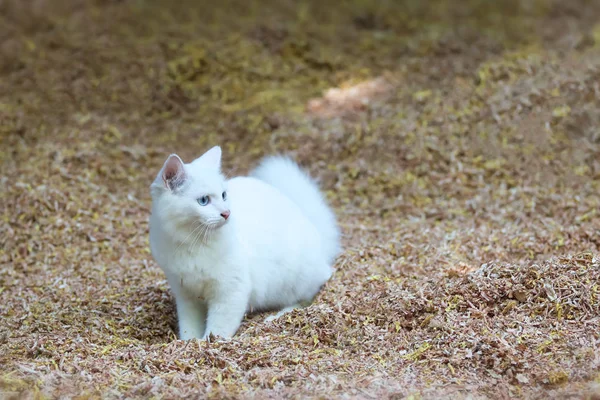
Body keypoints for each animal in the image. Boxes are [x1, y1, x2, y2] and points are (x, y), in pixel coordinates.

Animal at [148, 145, 340, 340]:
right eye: (203, 201)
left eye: (223, 195)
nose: (227, 213)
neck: (192, 241)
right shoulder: (186, 294)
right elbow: (189, 328)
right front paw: (190, 342)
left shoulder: (230, 291)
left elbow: (218, 328)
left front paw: (208, 342)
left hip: (297, 279)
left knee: (306, 299)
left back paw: (276, 317)